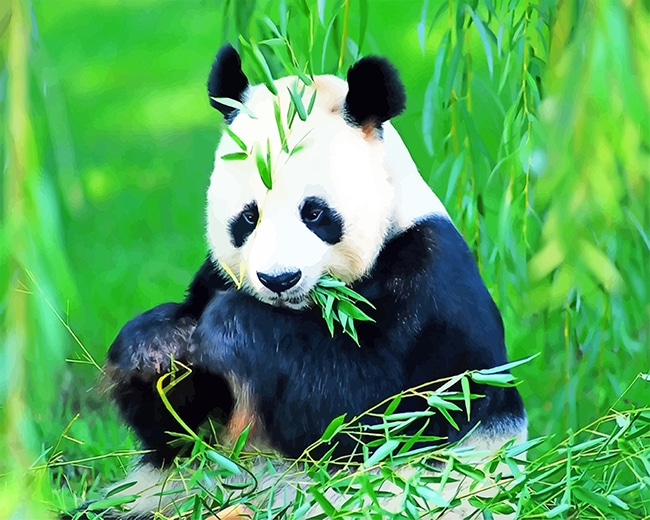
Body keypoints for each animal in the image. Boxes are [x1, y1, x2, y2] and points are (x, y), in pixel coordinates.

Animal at [67, 44, 527, 519]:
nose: (279, 279)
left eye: (315, 212)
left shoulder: (431, 285)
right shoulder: (215, 276)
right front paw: (157, 346)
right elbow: (180, 434)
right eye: (249, 216)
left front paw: (230, 325)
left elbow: (371, 413)